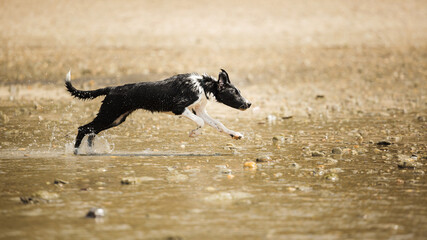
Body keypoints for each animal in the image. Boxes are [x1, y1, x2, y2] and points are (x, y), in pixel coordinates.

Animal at [65, 68, 252, 155]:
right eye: (235, 92)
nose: (249, 104)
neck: (202, 85)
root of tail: (111, 88)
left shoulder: (199, 110)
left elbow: (218, 124)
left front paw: (235, 134)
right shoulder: (179, 108)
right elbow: (200, 123)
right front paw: (193, 134)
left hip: (115, 118)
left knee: (91, 131)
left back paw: (90, 152)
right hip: (110, 113)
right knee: (83, 128)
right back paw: (76, 153)